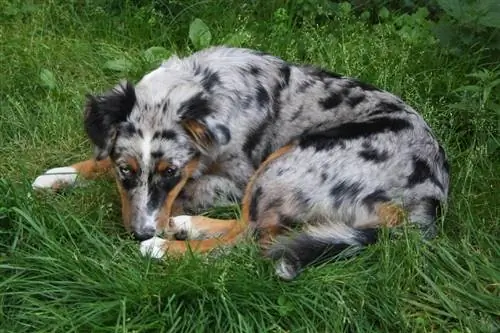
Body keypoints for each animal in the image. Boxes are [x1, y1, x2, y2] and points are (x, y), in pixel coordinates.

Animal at [33, 45, 452, 278]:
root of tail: (427, 203)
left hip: (286, 161)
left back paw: (165, 246)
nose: (139, 232)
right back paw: (185, 227)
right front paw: (59, 175)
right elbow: (100, 159)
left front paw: (161, 227)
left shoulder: (236, 179)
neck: (201, 86)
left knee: (249, 241)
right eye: (127, 170)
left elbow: (191, 191)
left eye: (171, 173)